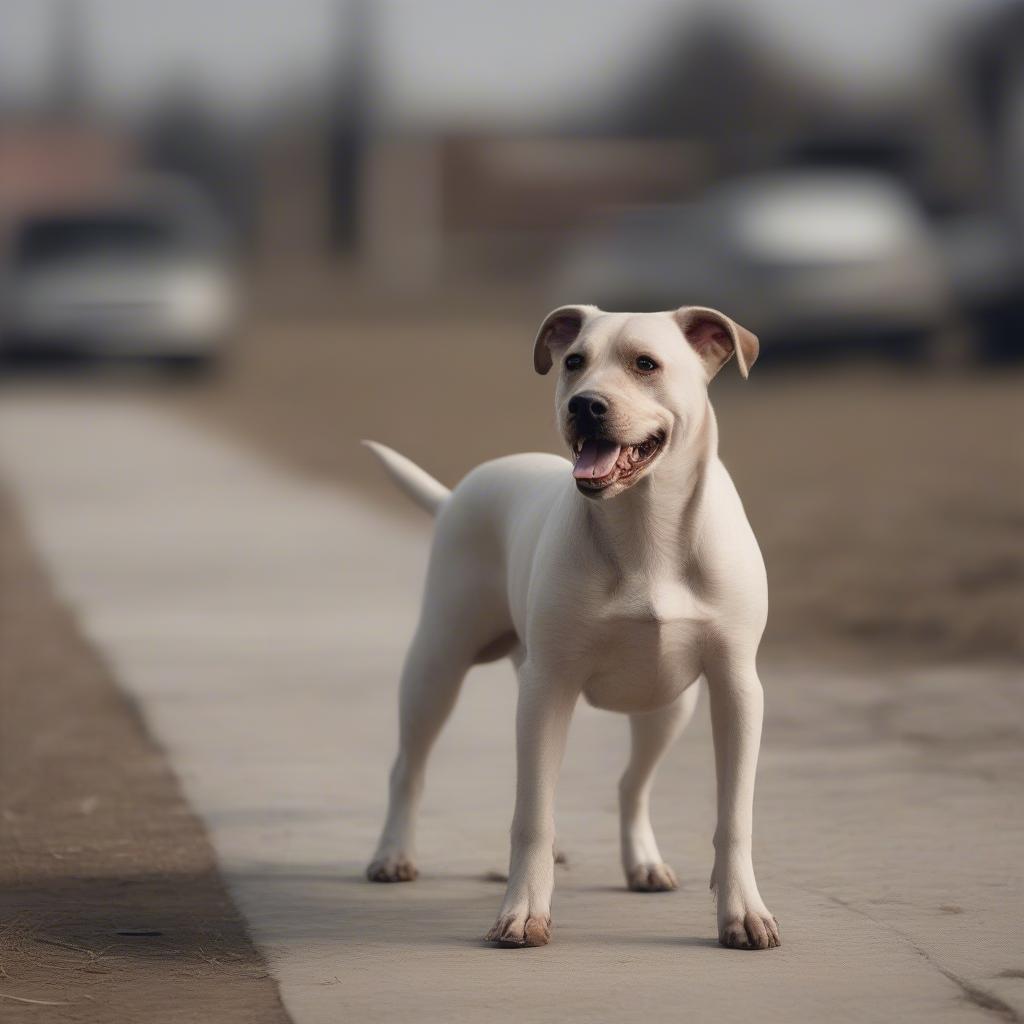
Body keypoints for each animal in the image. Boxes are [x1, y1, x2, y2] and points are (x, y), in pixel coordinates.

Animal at [364, 305, 778, 950]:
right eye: (574, 361)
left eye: (645, 364)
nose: (585, 404)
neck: (645, 525)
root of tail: (455, 495)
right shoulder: (548, 688)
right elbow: (532, 813)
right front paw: (522, 912)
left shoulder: (736, 685)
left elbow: (734, 815)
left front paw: (743, 912)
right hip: (438, 663)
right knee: (411, 765)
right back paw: (392, 854)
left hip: (668, 707)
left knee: (632, 785)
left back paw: (644, 863)